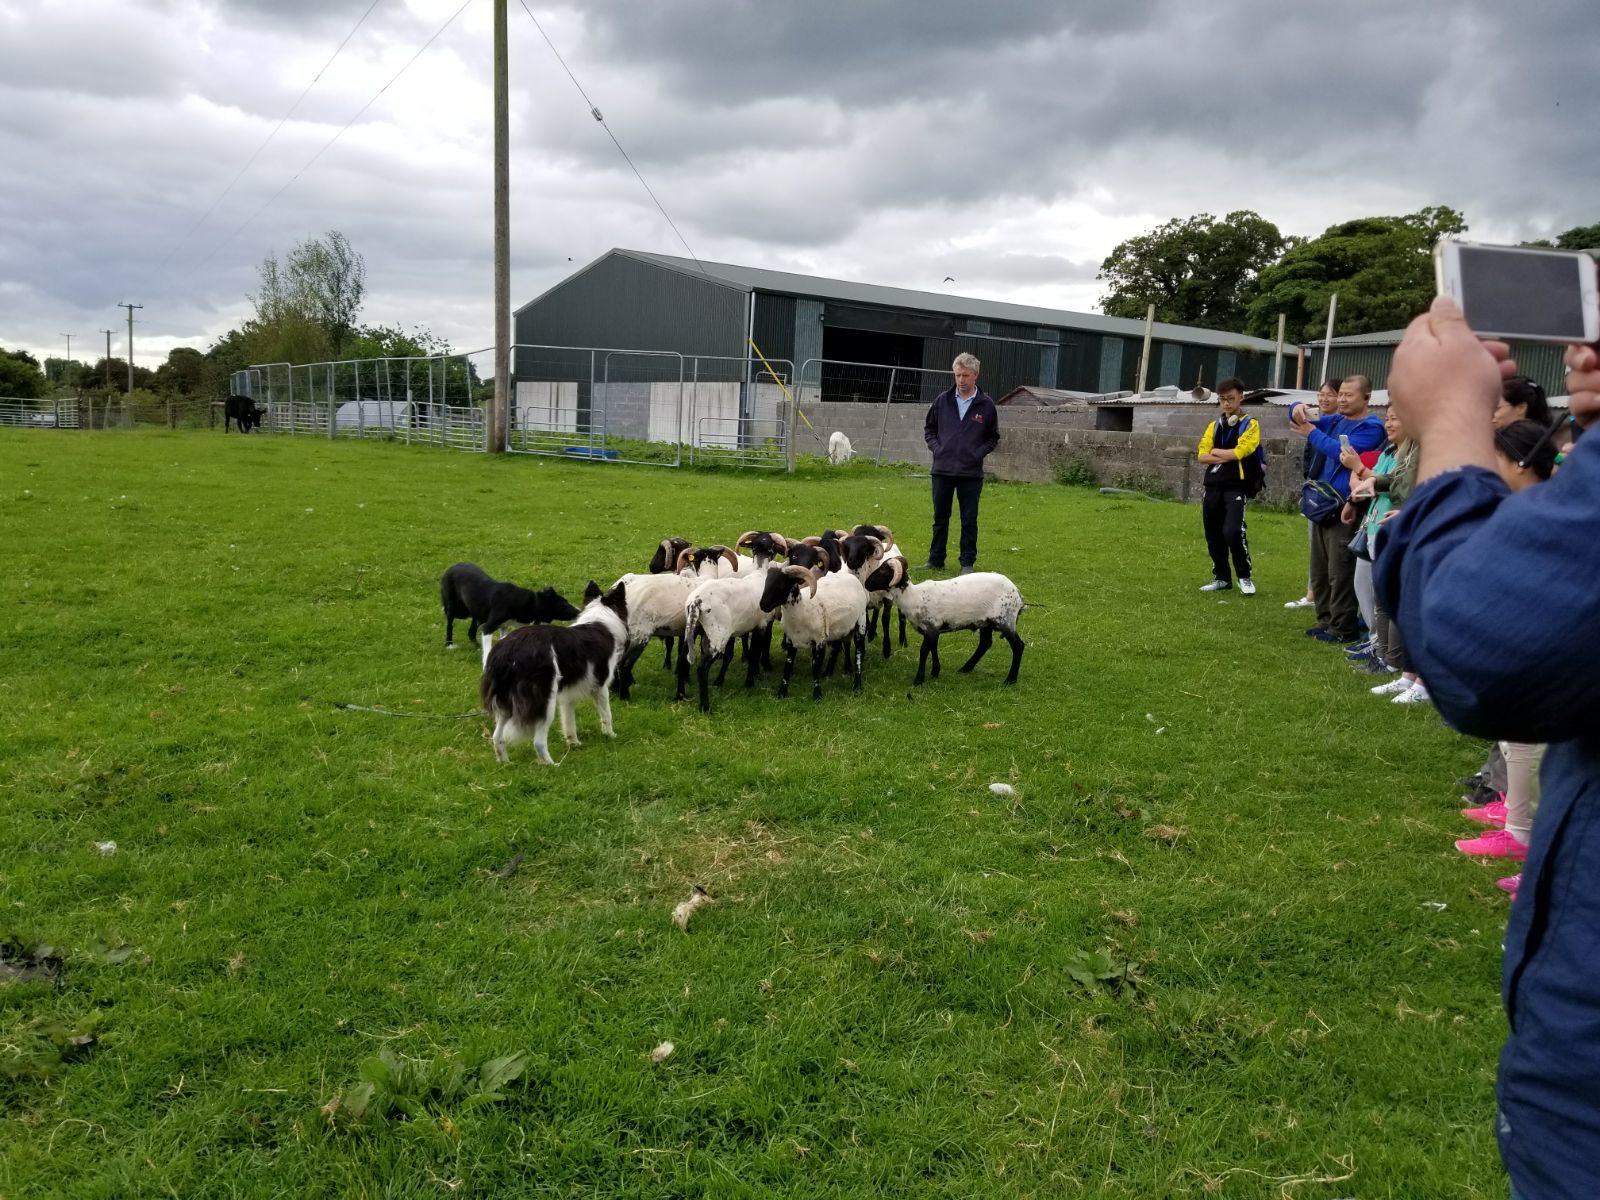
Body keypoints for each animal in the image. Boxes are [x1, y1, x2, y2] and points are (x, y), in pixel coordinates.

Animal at [755, 566, 870, 700]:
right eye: (766, 583)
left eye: (781, 584)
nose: (762, 605)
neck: (802, 609)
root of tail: (852, 577)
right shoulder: (791, 641)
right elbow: (788, 667)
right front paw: (782, 693)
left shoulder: (819, 640)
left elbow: (815, 667)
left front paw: (817, 695)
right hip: (839, 629)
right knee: (836, 648)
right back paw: (828, 674)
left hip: (861, 621)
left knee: (858, 653)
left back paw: (857, 686)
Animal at [864, 556, 1024, 681]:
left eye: (883, 571)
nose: (866, 583)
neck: (914, 596)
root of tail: (1017, 594)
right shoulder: (934, 630)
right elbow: (933, 649)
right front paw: (935, 672)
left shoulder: (931, 627)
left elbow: (924, 651)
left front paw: (919, 679)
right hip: (986, 622)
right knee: (985, 643)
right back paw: (965, 668)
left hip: (1005, 619)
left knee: (1018, 646)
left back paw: (1010, 679)